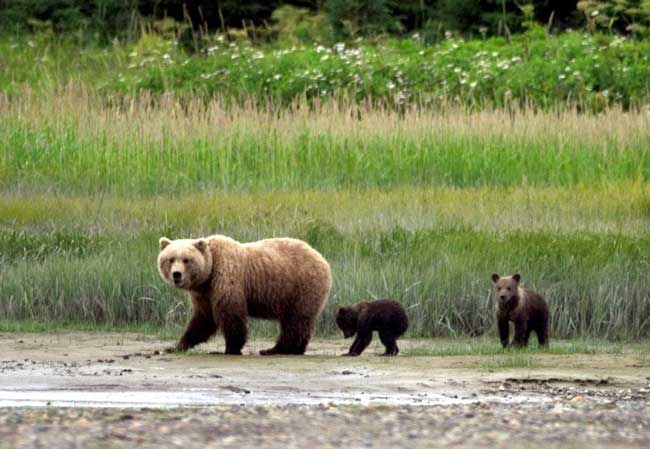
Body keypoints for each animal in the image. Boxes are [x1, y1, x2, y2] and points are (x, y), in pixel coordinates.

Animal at [156, 234, 330, 354]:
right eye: (170, 259)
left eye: (186, 260)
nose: (176, 275)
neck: (209, 273)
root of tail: (322, 258)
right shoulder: (204, 294)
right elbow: (203, 319)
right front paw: (176, 346)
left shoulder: (226, 277)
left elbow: (230, 314)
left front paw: (231, 348)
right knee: (301, 322)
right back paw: (295, 349)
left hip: (300, 287)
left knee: (294, 321)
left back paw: (275, 349)